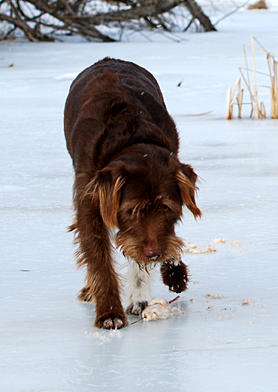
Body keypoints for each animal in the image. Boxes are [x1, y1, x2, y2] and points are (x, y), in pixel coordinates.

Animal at [64, 57, 201, 328]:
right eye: (133, 209)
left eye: (166, 208)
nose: (154, 253)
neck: (134, 138)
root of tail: (109, 59)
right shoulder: (90, 203)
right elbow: (99, 260)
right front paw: (109, 312)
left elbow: (151, 247)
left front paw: (145, 292)